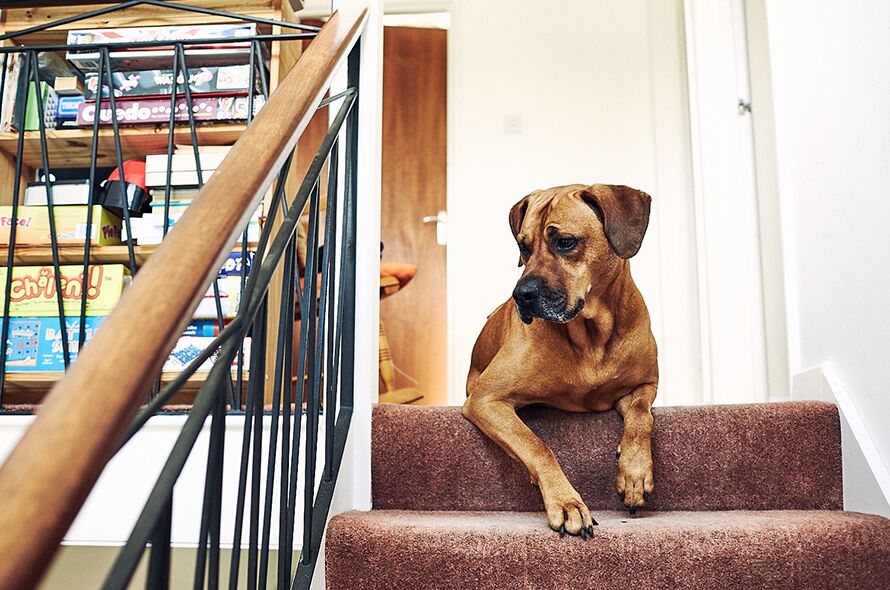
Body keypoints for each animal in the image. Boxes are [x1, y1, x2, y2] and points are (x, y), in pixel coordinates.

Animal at [462, 185, 656, 540]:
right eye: (523, 246)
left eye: (565, 242)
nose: (520, 295)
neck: (590, 335)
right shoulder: (485, 400)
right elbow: (537, 444)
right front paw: (566, 503)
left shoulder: (645, 383)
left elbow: (640, 417)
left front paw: (634, 474)